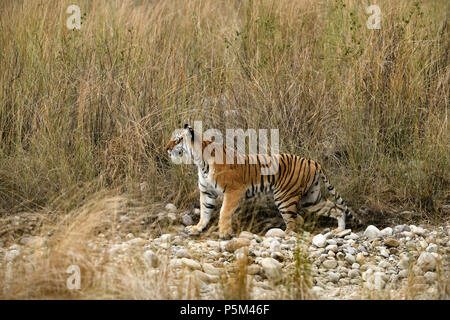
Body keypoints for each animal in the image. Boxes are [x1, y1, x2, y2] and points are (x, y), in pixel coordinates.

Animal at [165, 124, 362, 239]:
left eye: (177, 140)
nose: (166, 148)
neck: (200, 161)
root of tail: (312, 161)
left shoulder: (234, 191)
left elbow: (224, 212)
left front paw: (224, 233)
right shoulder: (207, 192)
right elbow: (205, 213)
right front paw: (197, 229)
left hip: (285, 197)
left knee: (293, 221)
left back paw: (282, 235)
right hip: (311, 199)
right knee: (337, 208)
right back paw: (339, 230)